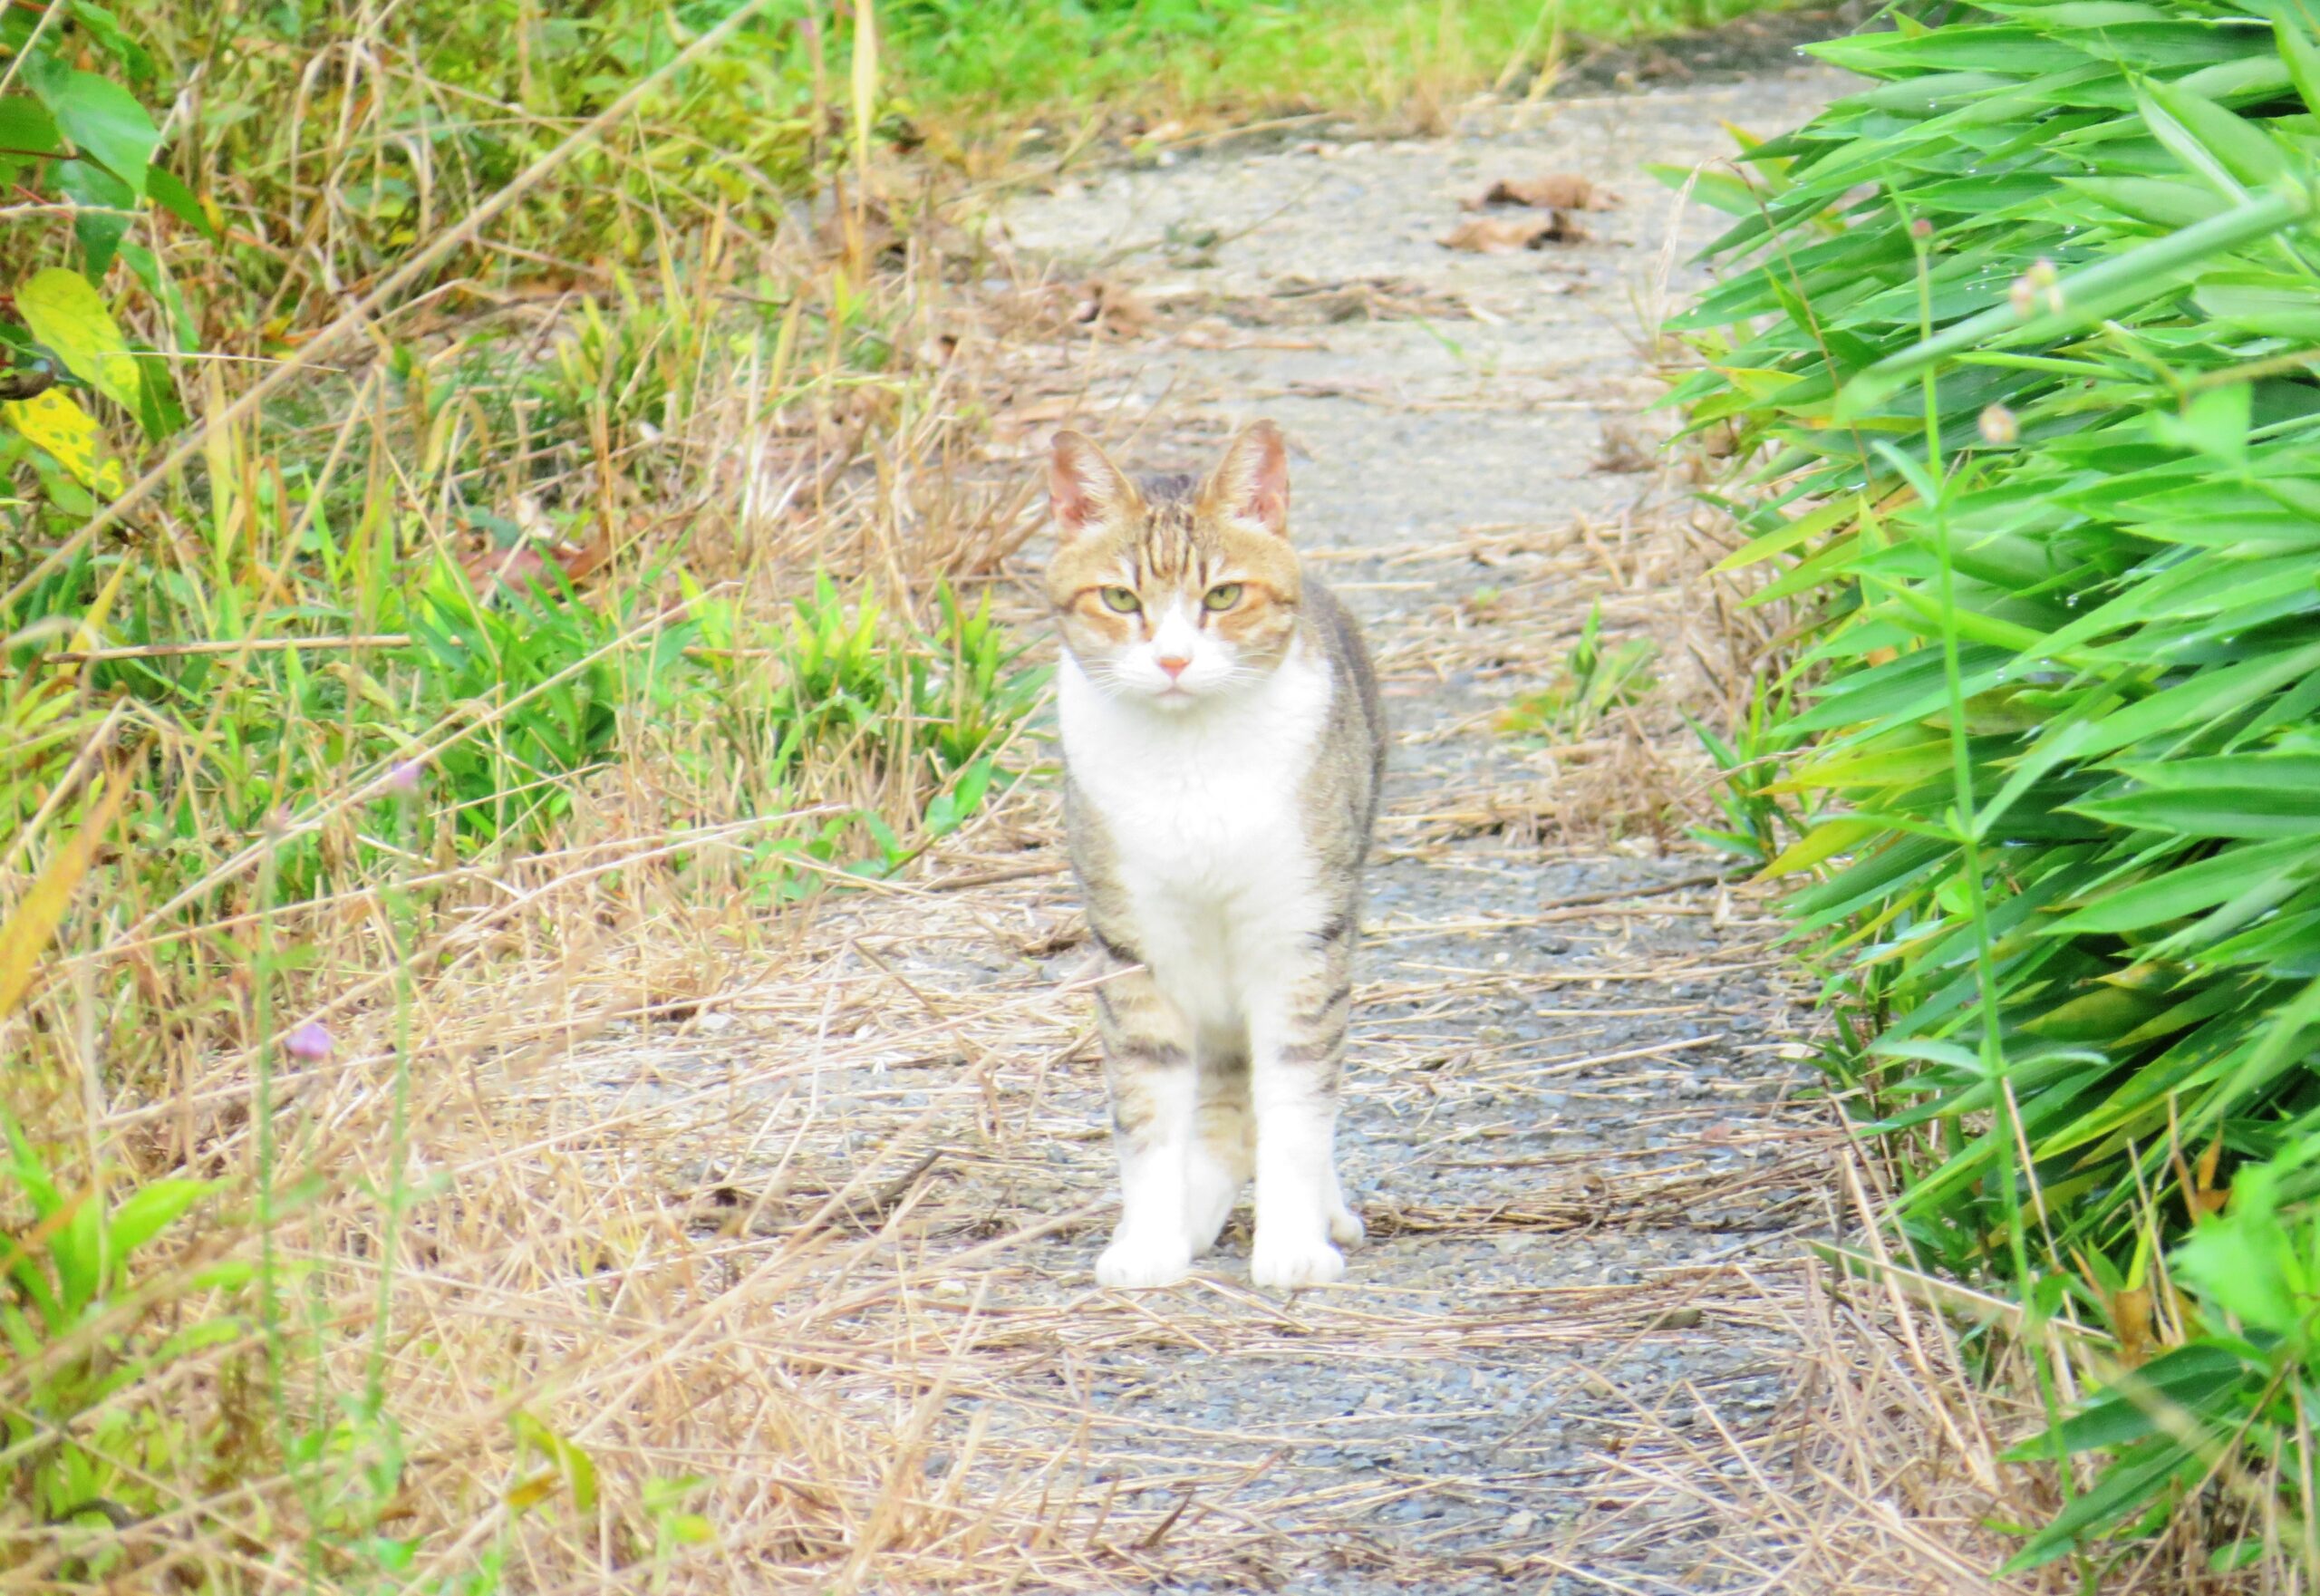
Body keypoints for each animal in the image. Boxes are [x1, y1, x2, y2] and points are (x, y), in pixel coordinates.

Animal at [1049, 417, 1373, 1290]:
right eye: (1121, 599)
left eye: (1223, 596)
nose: (1173, 660)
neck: (1192, 759)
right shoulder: (1134, 946)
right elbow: (1148, 1110)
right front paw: (1151, 1242)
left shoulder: (1301, 936)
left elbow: (1298, 1102)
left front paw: (1294, 1244)